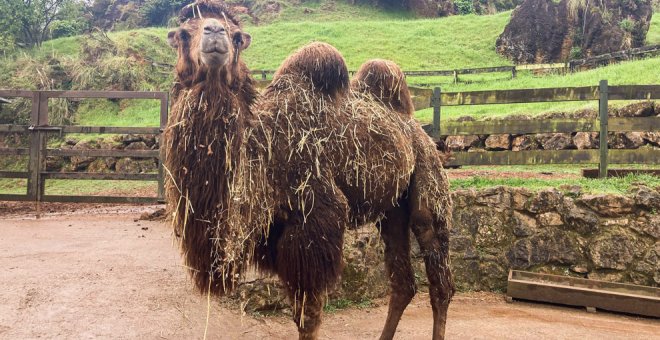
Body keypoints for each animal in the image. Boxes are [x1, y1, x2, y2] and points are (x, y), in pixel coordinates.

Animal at [164, 1, 454, 338]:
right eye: (183, 34)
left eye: (237, 37)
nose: (215, 32)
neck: (262, 154)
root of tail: (415, 126)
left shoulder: (315, 223)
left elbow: (309, 317)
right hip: (392, 210)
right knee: (404, 283)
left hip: (428, 180)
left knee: (439, 276)